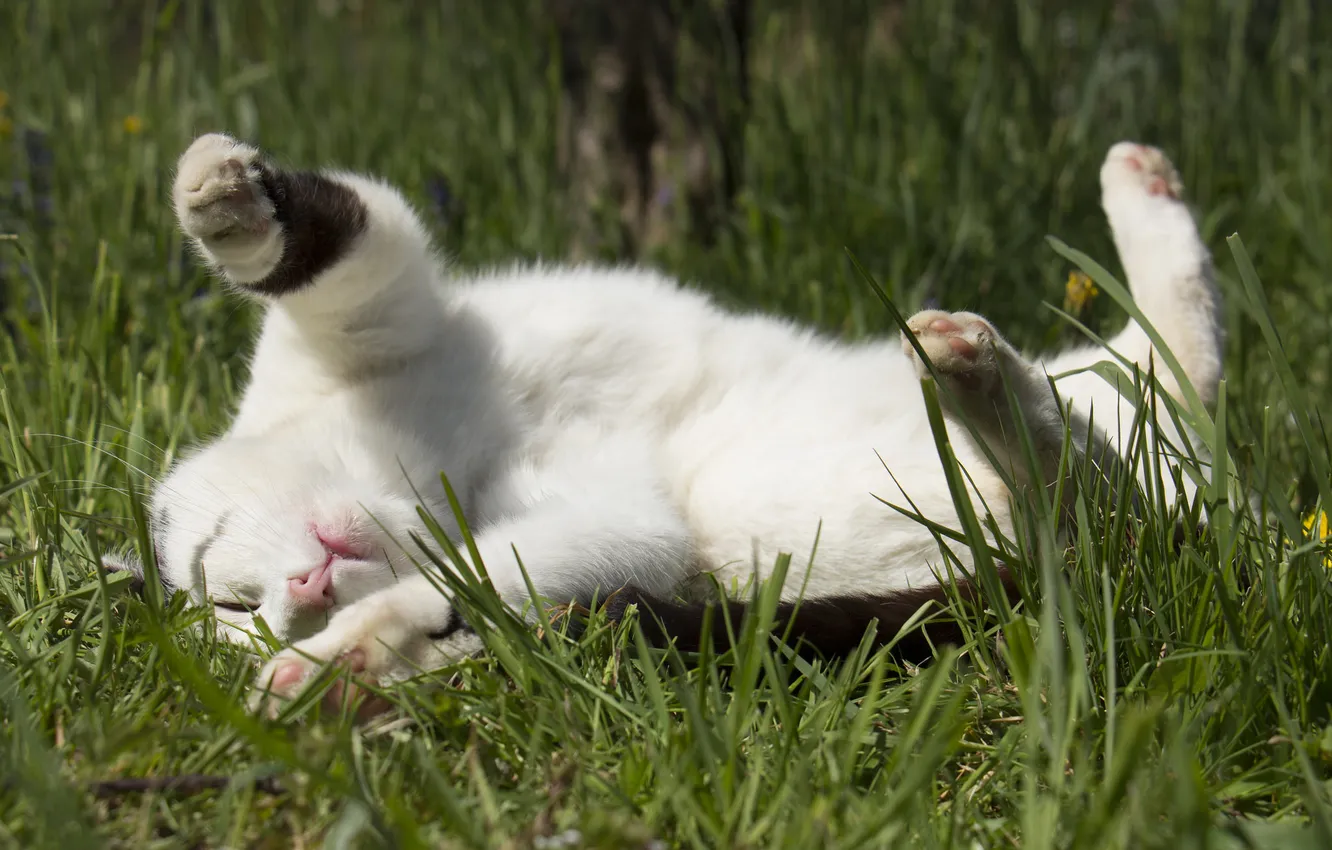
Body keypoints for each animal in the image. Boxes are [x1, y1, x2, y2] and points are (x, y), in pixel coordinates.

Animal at [103, 133, 1220, 714]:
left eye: (227, 584)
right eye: (239, 615)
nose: (299, 593)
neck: (438, 471)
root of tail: (1216, 518)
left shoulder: (390, 312)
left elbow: (335, 239)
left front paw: (223, 201)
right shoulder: (628, 539)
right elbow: (487, 578)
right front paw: (344, 657)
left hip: (1113, 420)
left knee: (1170, 367)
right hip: (1055, 536)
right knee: (1096, 476)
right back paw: (980, 372)